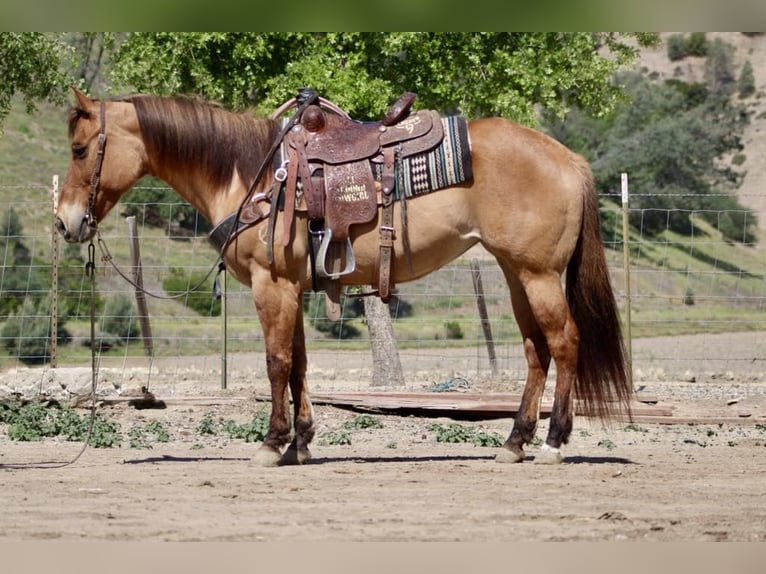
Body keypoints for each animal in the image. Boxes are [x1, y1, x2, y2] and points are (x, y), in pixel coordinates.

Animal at [55, 87, 630, 466]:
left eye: (80, 149)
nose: (66, 222)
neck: (251, 175)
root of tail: (568, 158)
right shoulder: (292, 287)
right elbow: (300, 365)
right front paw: (301, 443)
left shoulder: (271, 285)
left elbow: (277, 363)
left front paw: (271, 444)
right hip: (516, 275)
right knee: (537, 352)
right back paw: (514, 443)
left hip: (539, 274)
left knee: (565, 342)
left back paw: (554, 443)